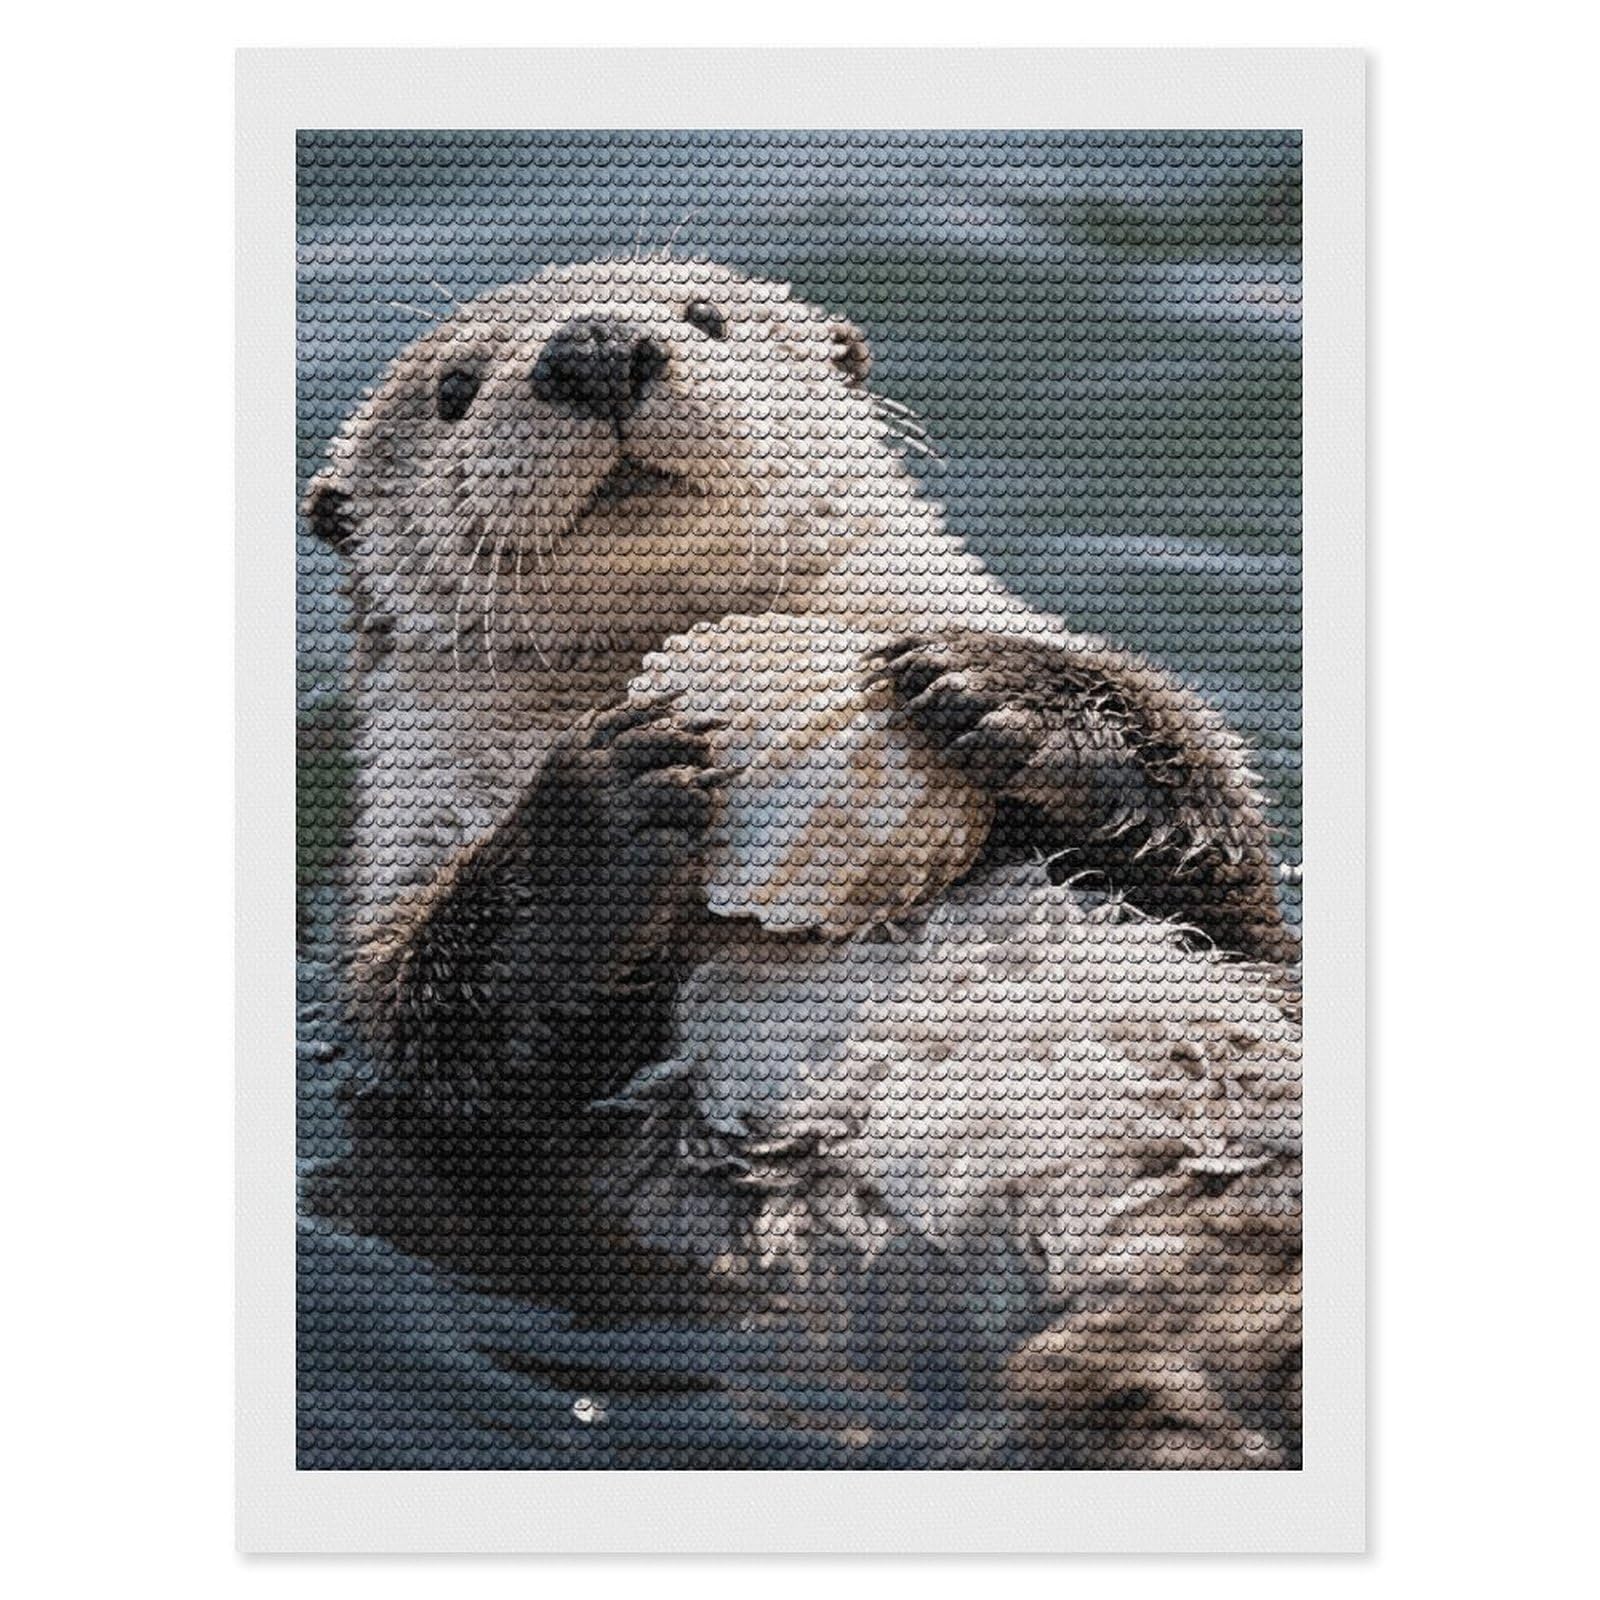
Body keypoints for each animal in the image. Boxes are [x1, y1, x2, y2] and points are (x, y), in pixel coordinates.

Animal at [302, 257, 1298, 1306]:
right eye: (454, 389)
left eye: (707, 316)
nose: (597, 346)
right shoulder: (399, 864)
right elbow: (430, 1039)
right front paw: (600, 815)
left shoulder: (1251, 942)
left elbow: (1234, 880)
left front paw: (1005, 696)